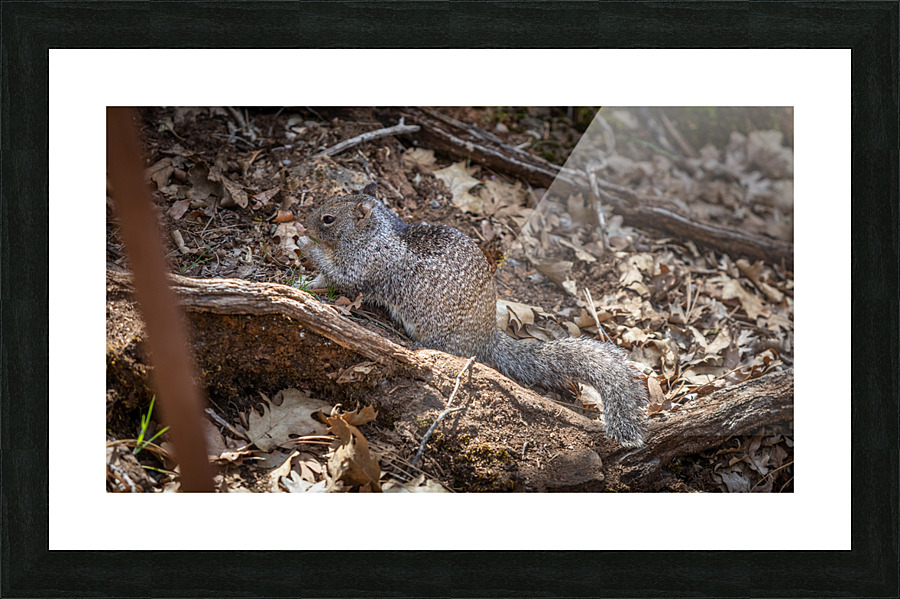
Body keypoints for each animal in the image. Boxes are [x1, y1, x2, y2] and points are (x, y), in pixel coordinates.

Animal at [299, 189, 649, 447]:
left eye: (328, 219)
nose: (303, 222)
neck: (374, 235)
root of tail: (487, 338)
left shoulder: (363, 269)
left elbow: (337, 277)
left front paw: (304, 247)